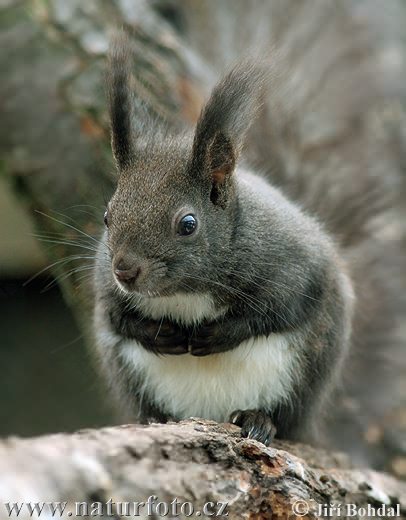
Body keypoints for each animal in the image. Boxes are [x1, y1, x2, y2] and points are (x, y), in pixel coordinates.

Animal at [91, 25, 402, 456]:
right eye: (107, 216)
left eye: (188, 224)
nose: (125, 270)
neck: (187, 293)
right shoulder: (104, 287)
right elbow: (114, 316)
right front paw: (160, 333)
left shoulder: (294, 267)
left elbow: (276, 311)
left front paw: (217, 334)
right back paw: (157, 419)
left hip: (301, 373)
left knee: (282, 415)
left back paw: (258, 420)